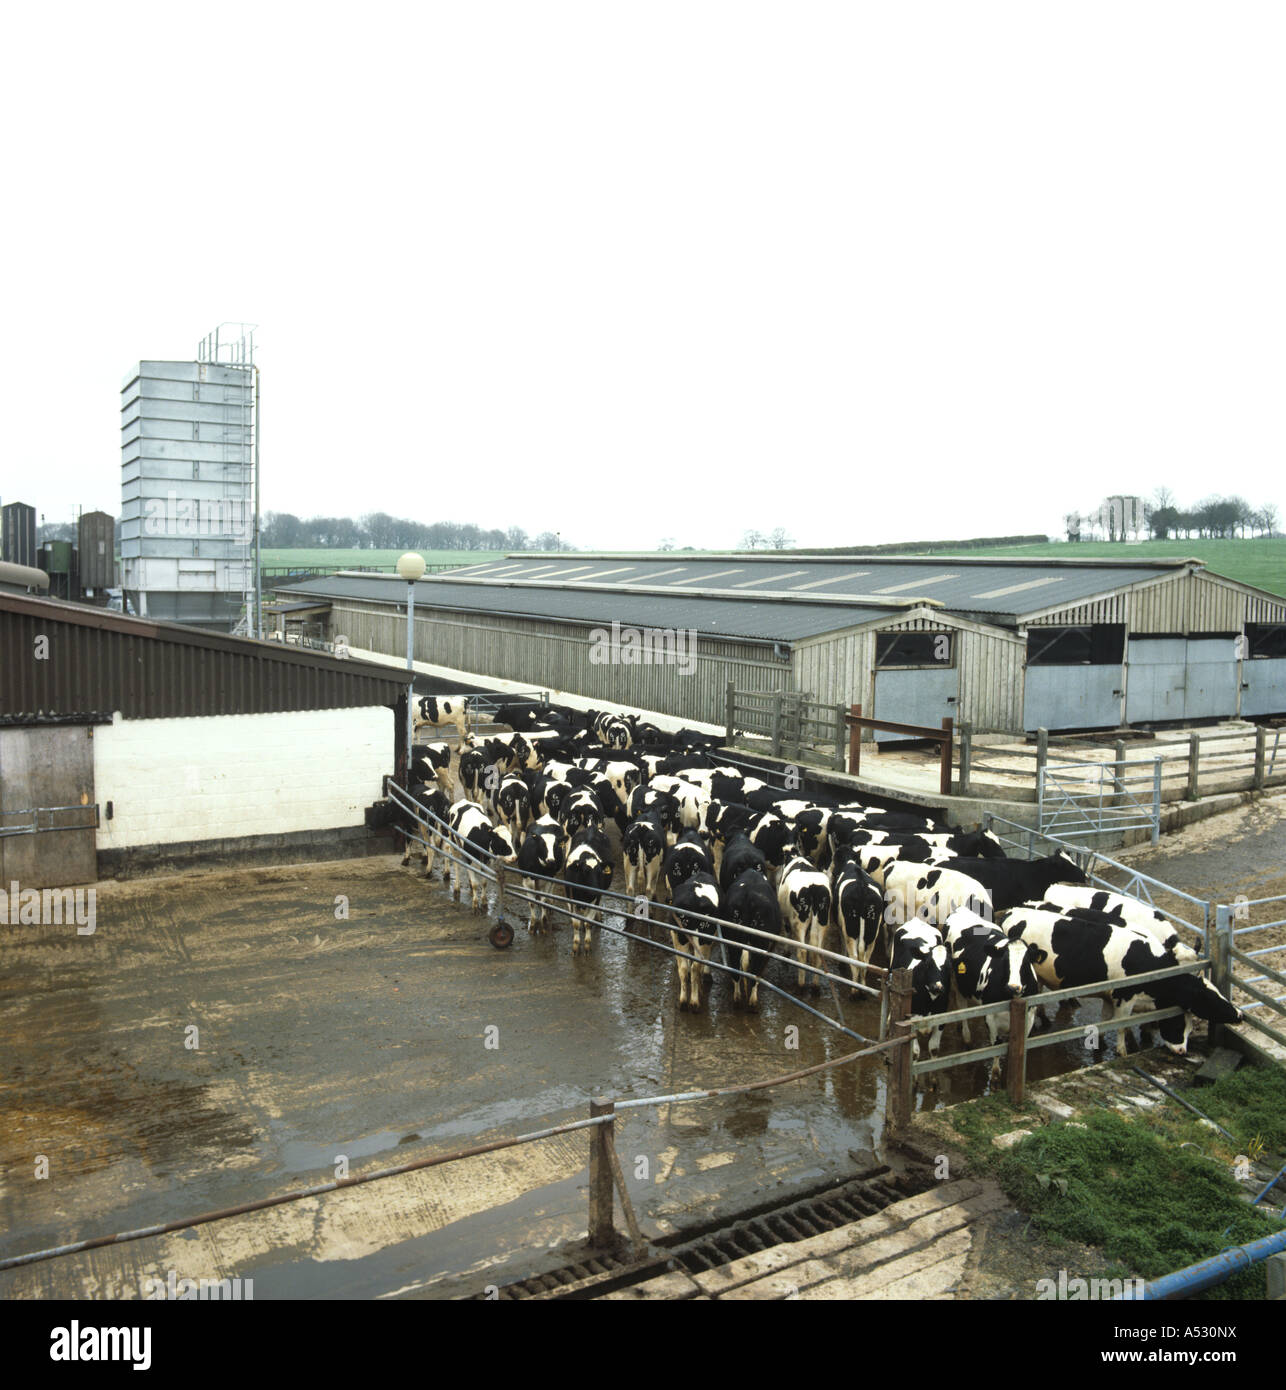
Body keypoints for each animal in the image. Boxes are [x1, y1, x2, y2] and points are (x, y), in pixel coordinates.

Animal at [772, 850, 834, 995]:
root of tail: (813, 887)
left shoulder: (786, 917)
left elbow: (787, 934)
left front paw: (786, 953)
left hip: (798, 922)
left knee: (802, 951)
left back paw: (800, 985)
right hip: (822, 921)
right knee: (817, 952)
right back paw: (815, 987)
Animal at [945, 906, 1045, 1078]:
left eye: (1027, 963)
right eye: (1004, 961)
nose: (1013, 986)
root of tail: (961, 909)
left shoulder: (1030, 1016)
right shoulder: (990, 1017)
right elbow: (996, 1045)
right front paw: (996, 1074)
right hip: (957, 984)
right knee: (962, 1008)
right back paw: (966, 1038)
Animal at [1000, 900, 1240, 1050]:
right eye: (1208, 997)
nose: (1239, 1015)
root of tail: (1013, 911)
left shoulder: (1111, 996)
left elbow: (1106, 1021)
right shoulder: (1125, 998)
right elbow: (1122, 1025)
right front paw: (1124, 1050)